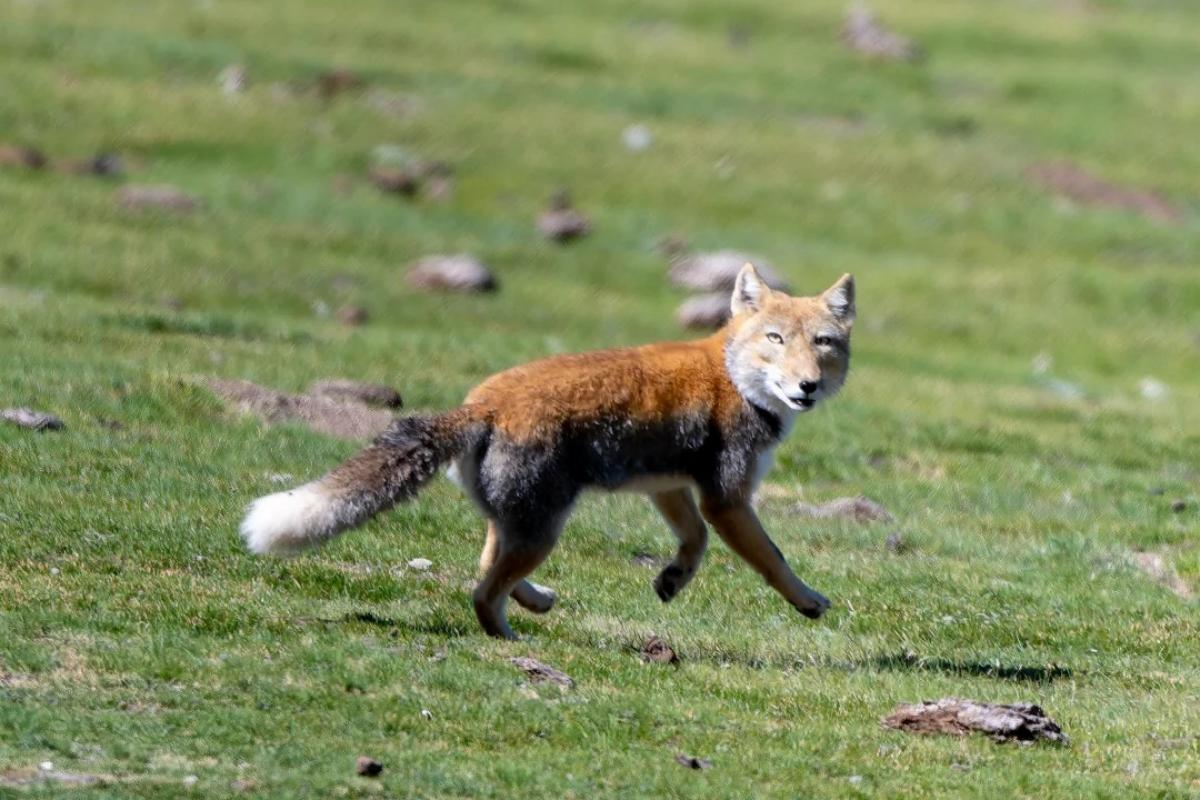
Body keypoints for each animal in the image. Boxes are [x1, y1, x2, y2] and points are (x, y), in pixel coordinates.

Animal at [240, 264, 855, 639]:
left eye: (823, 344)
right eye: (776, 340)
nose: (807, 387)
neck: (731, 376)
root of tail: (480, 404)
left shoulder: (672, 487)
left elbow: (694, 541)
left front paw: (672, 580)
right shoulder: (727, 498)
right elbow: (773, 558)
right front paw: (807, 601)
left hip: (517, 524)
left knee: (486, 570)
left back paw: (534, 603)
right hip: (543, 530)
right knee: (483, 592)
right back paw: (510, 636)